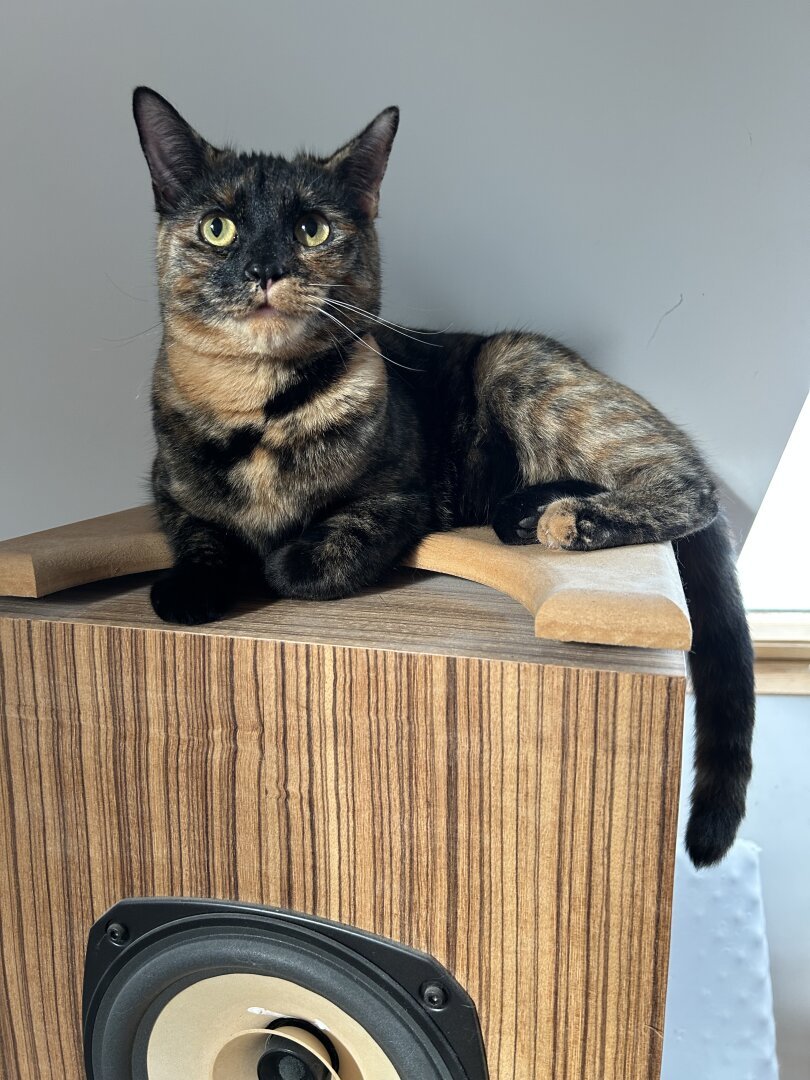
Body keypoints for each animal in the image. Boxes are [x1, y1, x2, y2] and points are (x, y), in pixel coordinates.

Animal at [131, 86, 756, 868]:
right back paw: (529, 511)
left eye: (311, 228)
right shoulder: (164, 484)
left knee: (687, 483)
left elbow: (315, 553)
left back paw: (571, 519)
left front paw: (278, 556)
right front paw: (192, 585)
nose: (265, 269)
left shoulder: (402, 496)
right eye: (219, 228)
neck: (263, 411)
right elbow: (199, 532)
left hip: (521, 369)